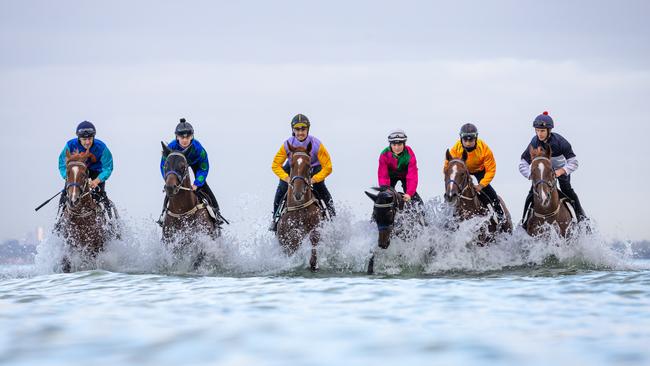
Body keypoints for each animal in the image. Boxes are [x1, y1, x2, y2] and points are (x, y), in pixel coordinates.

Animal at [276, 143, 322, 272]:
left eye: (308, 165)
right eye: (291, 164)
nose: (297, 193)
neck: (299, 208)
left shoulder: (316, 226)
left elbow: (314, 237)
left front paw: (314, 264)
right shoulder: (285, 238)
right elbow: (293, 240)